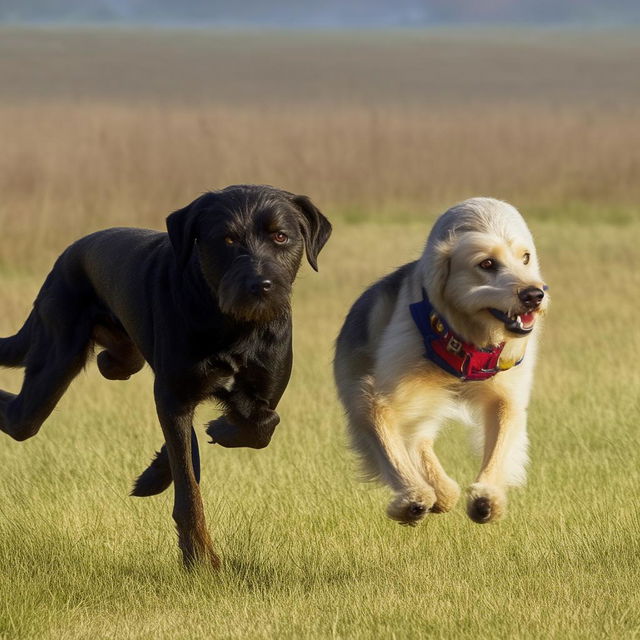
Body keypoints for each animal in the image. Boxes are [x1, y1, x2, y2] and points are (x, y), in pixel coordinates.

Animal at [0, 184, 332, 564]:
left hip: (122, 355)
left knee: (114, 364)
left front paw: (205, 438)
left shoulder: (264, 390)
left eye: (280, 236)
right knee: (20, 417)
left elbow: (261, 425)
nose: (259, 285)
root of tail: (65, 257)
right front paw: (200, 558)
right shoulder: (174, 394)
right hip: (53, 360)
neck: (233, 325)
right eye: (227, 239)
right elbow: (188, 483)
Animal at [332, 199, 548, 524]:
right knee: (416, 441)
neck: (466, 339)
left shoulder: (506, 395)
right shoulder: (375, 396)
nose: (535, 294)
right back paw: (439, 491)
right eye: (487, 264)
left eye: (526, 258)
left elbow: (499, 443)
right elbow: (391, 447)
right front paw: (413, 497)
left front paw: (487, 497)